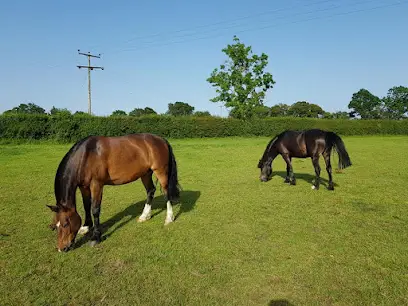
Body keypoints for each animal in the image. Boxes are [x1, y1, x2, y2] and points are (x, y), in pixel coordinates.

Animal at [45, 133, 180, 252]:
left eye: (65, 224)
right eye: (54, 226)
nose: (62, 248)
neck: (86, 155)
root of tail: (161, 139)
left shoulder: (96, 184)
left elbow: (95, 209)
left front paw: (95, 237)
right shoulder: (84, 187)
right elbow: (86, 206)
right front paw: (86, 227)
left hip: (161, 171)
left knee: (166, 193)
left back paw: (169, 218)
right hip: (145, 174)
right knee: (150, 190)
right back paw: (144, 216)